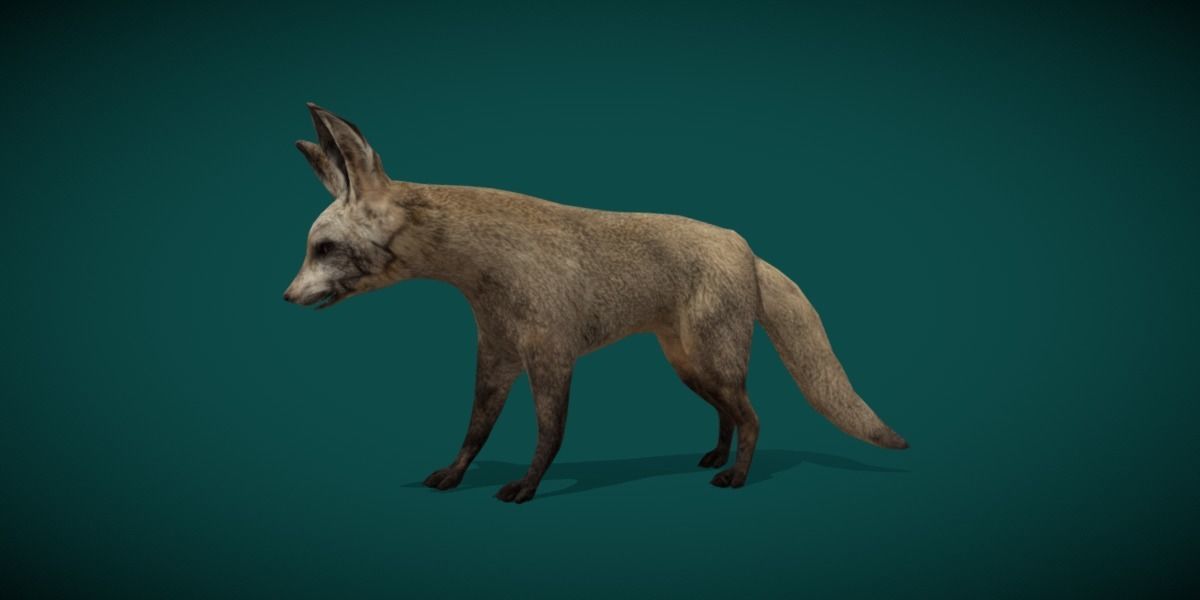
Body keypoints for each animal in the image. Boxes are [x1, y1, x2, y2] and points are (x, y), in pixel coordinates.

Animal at [283, 103, 908, 503]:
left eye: (324, 247)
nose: (286, 296)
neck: (488, 275)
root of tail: (745, 245)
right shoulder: (497, 355)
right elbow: (475, 430)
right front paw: (456, 475)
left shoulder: (551, 358)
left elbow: (549, 434)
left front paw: (528, 487)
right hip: (689, 365)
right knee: (729, 415)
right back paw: (716, 457)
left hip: (714, 360)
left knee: (753, 416)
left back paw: (735, 478)